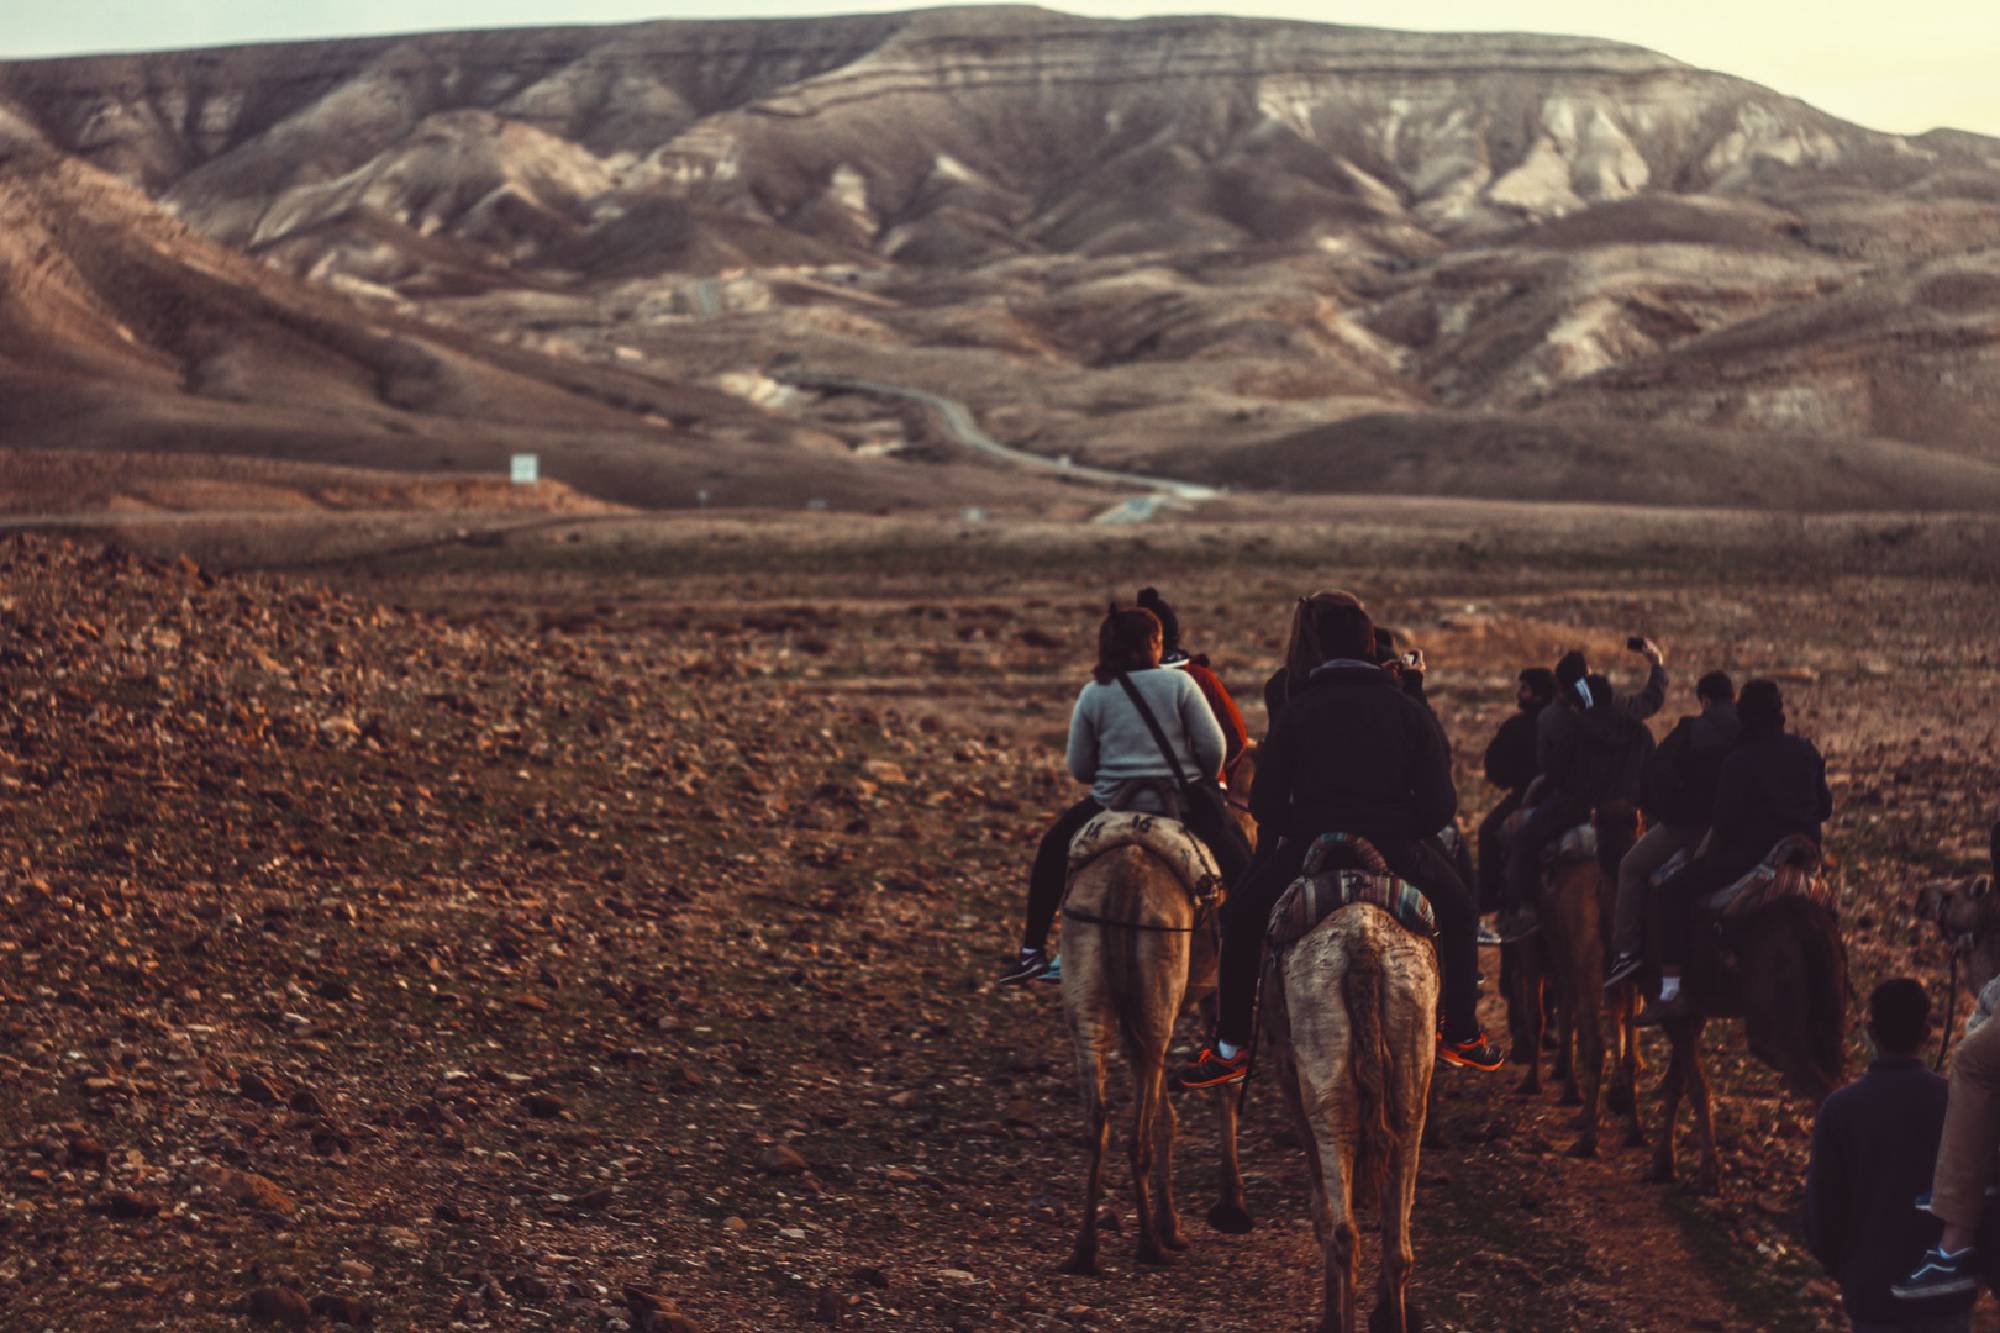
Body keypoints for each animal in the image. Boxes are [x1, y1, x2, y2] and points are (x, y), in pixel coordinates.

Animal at [1056, 740, 1256, 1272]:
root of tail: (1125, 879)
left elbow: (1168, 1111)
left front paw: (1177, 1222)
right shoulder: (1216, 995)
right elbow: (1224, 1087)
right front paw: (1230, 1207)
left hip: (1094, 996)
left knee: (1098, 1117)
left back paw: (1086, 1248)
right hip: (1156, 999)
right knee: (1137, 1131)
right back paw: (1149, 1243)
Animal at [1264, 840, 1440, 1328]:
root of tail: (1365, 941)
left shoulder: (1290, 1077)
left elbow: (1321, 1210)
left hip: (1324, 1082)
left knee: (1342, 1228)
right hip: (1412, 1065)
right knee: (1399, 1243)